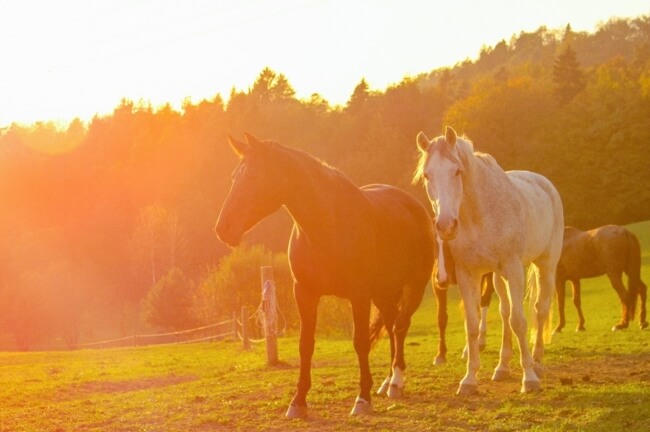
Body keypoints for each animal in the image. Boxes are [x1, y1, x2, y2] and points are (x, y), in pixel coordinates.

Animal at [215, 135, 432, 418]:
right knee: (393, 324)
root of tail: (413, 206)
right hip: (383, 293)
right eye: (233, 177)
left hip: (414, 287)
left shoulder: (358, 296)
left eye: (252, 175)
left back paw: (396, 381)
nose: (223, 229)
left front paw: (362, 399)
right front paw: (298, 401)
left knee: (400, 326)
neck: (326, 225)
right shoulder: (305, 293)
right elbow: (305, 345)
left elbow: (360, 342)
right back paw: (387, 382)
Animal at [416, 125, 560, 394]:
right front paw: (469, 380)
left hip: (545, 265)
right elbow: (473, 325)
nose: (446, 226)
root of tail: (544, 183)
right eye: (427, 176)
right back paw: (502, 367)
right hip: (498, 277)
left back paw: (537, 362)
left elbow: (519, 321)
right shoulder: (468, 274)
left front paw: (529, 378)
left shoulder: (513, 268)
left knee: (540, 309)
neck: (479, 215)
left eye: (457, 171)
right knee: (504, 313)